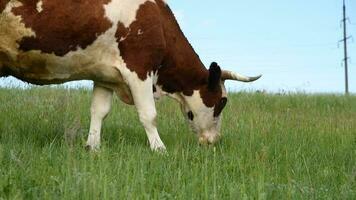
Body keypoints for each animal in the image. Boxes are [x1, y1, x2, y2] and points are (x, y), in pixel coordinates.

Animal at [0, 0, 262, 150]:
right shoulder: (140, 69)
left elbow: (99, 111)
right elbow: (149, 115)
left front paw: (92, 147)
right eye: (222, 102)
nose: (214, 141)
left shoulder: (104, 75)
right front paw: (159, 150)